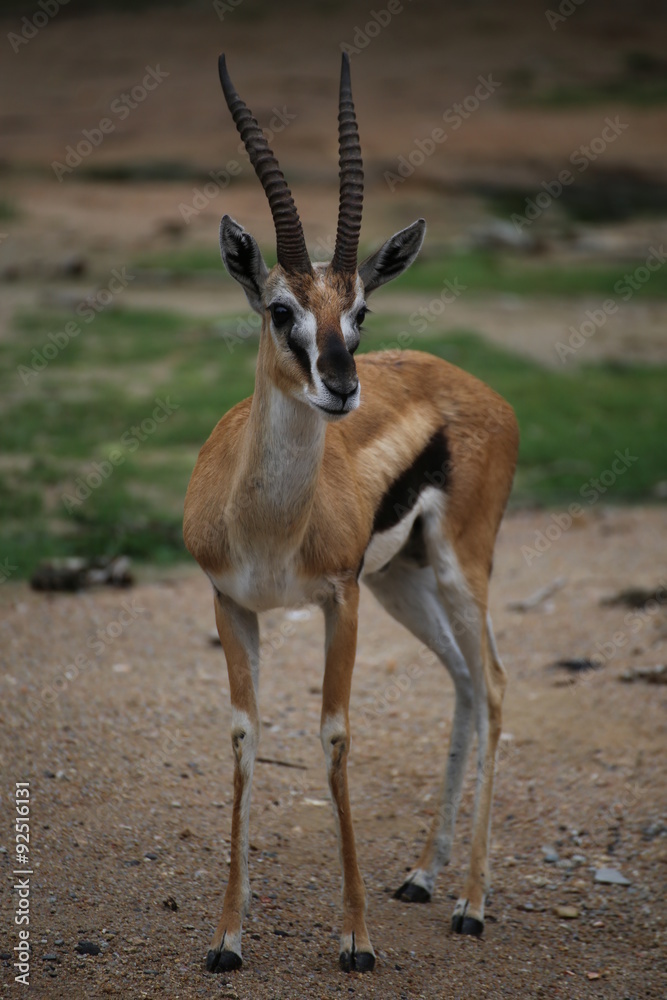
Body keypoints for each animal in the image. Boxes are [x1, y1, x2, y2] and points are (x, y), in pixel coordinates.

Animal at [183, 52, 519, 975]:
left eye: (360, 309)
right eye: (280, 309)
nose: (340, 385)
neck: (266, 525)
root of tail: (481, 390)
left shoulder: (339, 599)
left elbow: (334, 737)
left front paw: (356, 940)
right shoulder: (230, 603)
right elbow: (243, 735)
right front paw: (228, 935)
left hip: (457, 568)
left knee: (495, 684)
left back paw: (472, 905)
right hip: (404, 580)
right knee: (464, 681)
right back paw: (422, 877)